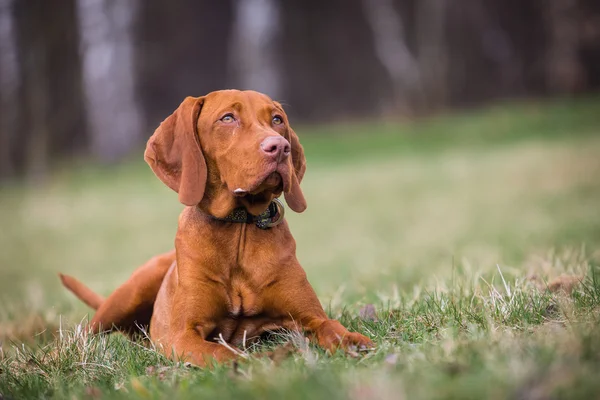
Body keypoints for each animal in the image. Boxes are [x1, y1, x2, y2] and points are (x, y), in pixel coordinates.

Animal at [58, 90, 372, 366]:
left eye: (277, 119)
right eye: (228, 118)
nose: (280, 147)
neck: (239, 228)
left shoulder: (309, 317)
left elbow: (331, 326)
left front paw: (353, 341)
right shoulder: (183, 336)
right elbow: (224, 353)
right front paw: (264, 360)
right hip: (128, 294)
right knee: (81, 336)